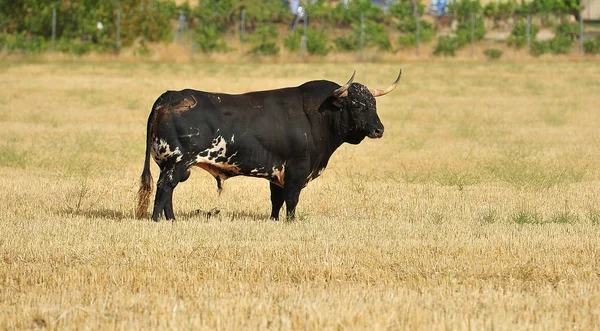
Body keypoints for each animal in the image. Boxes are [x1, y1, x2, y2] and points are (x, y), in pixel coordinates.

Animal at [134, 71, 400, 222]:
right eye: (356, 105)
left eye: (373, 103)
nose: (379, 129)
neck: (317, 115)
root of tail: (169, 96)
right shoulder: (296, 170)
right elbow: (291, 200)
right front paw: (290, 222)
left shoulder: (277, 172)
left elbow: (276, 201)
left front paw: (274, 220)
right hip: (177, 163)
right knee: (164, 189)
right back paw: (157, 220)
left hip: (171, 165)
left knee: (168, 191)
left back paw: (172, 219)